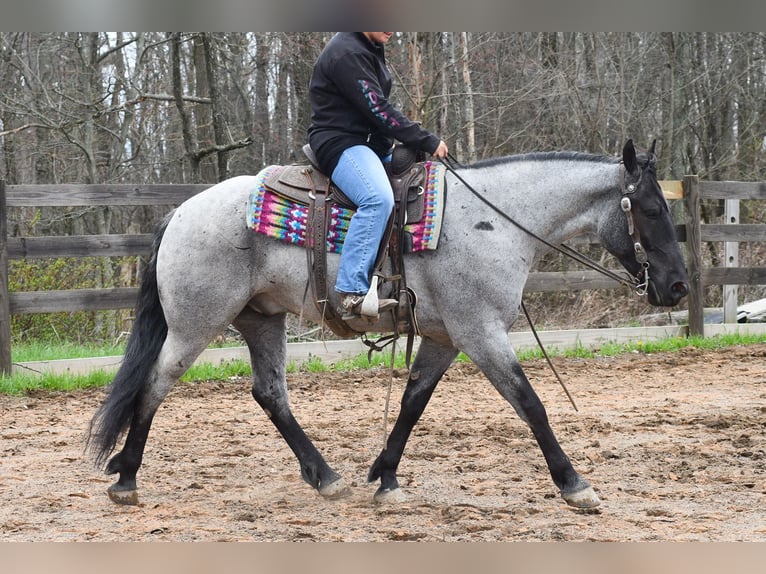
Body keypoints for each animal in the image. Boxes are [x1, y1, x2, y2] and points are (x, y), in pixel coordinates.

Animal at [87, 139, 688, 509]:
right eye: (651, 209)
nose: (679, 287)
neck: (492, 221)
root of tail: (180, 212)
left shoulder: (446, 338)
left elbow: (412, 403)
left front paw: (385, 475)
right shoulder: (481, 332)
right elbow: (530, 403)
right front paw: (573, 483)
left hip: (261, 319)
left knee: (270, 394)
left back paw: (326, 476)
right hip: (196, 324)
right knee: (155, 384)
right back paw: (127, 477)